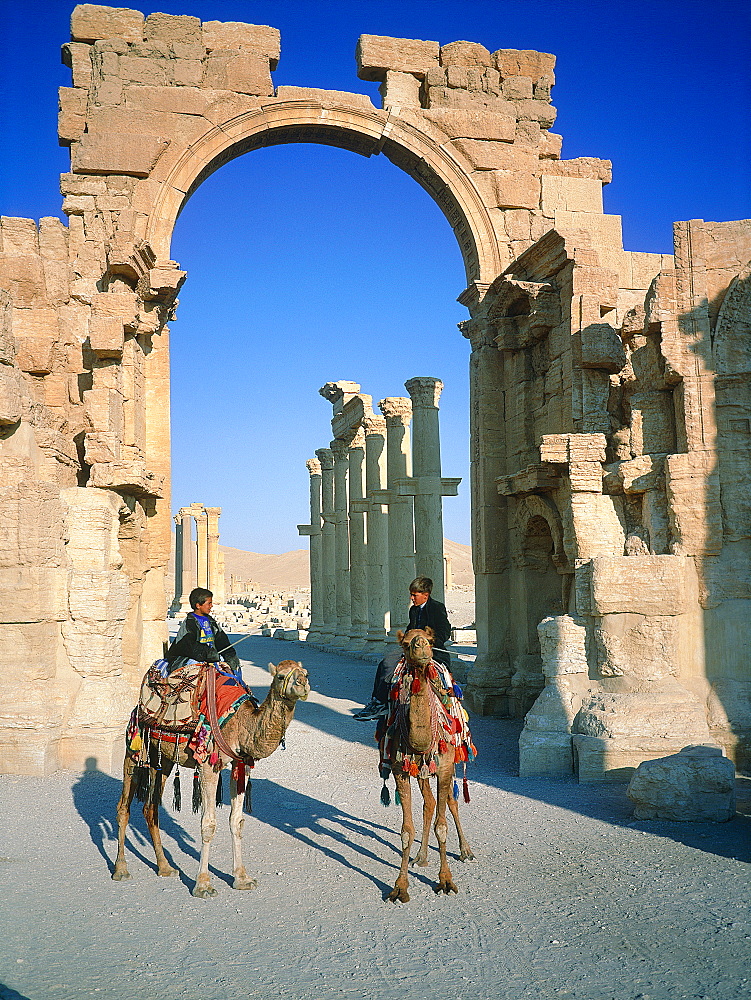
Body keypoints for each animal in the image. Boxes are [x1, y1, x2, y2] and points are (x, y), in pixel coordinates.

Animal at [112, 656, 312, 900]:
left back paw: (165, 867)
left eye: (306, 673)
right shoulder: (208, 765)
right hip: (134, 747)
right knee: (123, 807)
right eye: (281, 676)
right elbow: (208, 824)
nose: (303, 684)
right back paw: (121, 869)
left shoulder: (241, 764)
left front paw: (242, 878)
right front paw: (203, 885)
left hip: (163, 760)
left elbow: (237, 821)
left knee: (150, 807)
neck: (242, 723)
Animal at [384, 632, 472, 908]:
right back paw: (420, 857)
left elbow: (441, 827)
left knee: (451, 801)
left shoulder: (443, 768)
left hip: (451, 763)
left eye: (429, 638)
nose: (421, 644)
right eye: (406, 642)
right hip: (421, 771)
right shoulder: (401, 769)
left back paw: (466, 851)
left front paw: (446, 881)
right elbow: (406, 832)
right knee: (430, 803)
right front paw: (399, 887)